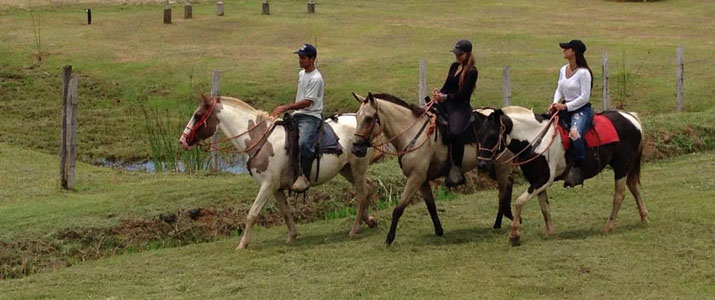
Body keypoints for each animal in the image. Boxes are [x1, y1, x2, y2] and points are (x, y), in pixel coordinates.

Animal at [180, 94, 380, 248]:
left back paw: (355, 228)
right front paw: (292, 235)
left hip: (358, 168)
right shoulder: (276, 188)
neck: (260, 139)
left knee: (362, 194)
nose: (182, 140)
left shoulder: (267, 185)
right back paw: (369, 221)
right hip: (347, 170)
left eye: (197, 115)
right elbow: (285, 211)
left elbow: (252, 214)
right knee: (368, 188)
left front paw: (242, 244)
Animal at [352, 92, 516, 245]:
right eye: (357, 117)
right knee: (509, 183)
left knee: (502, 193)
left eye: (368, 118)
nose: (356, 149)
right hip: (489, 166)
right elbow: (431, 206)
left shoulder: (415, 178)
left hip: (500, 166)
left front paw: (389, 239)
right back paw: (508, 216)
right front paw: (439, 231)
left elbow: (399, 208)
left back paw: (499, 222)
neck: (412, 133)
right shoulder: (422, 181)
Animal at [478, 106, 652, 245]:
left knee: (619, 195)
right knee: (633, 186)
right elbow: (544, 207)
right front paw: (550, 232)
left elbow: (519, 201)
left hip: (622, 166)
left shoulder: (544, 179)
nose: (482, 165)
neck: (537, 139)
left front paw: (514, 235)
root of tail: (630, 116)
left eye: (492, 135)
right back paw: (644, 217)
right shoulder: (536, 180)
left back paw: (608, 227)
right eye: (479, 134)